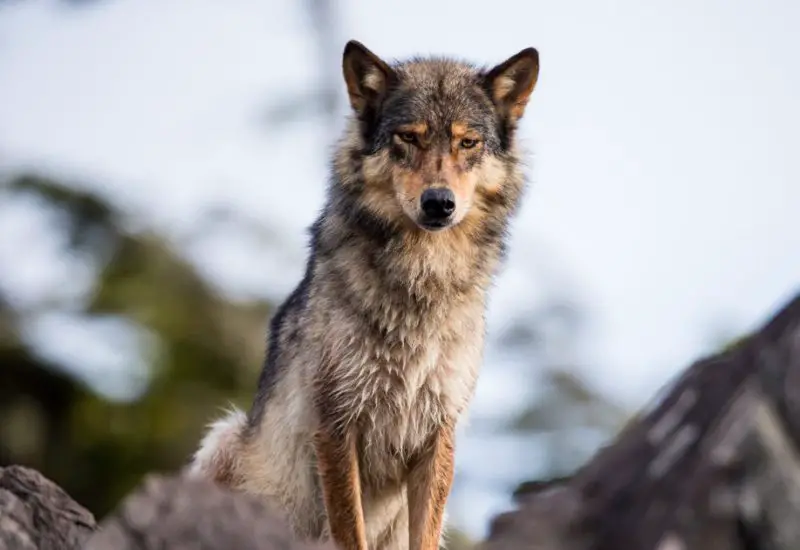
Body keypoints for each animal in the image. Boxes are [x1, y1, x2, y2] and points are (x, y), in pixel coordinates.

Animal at [188, 40, 540, 550]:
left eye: (467, 142)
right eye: (409, 138)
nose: (439, 203)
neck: (421, 280)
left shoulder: (438, 436)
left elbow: (424, 535)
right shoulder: (336, 425)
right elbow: (348, 530)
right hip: (224, 438)